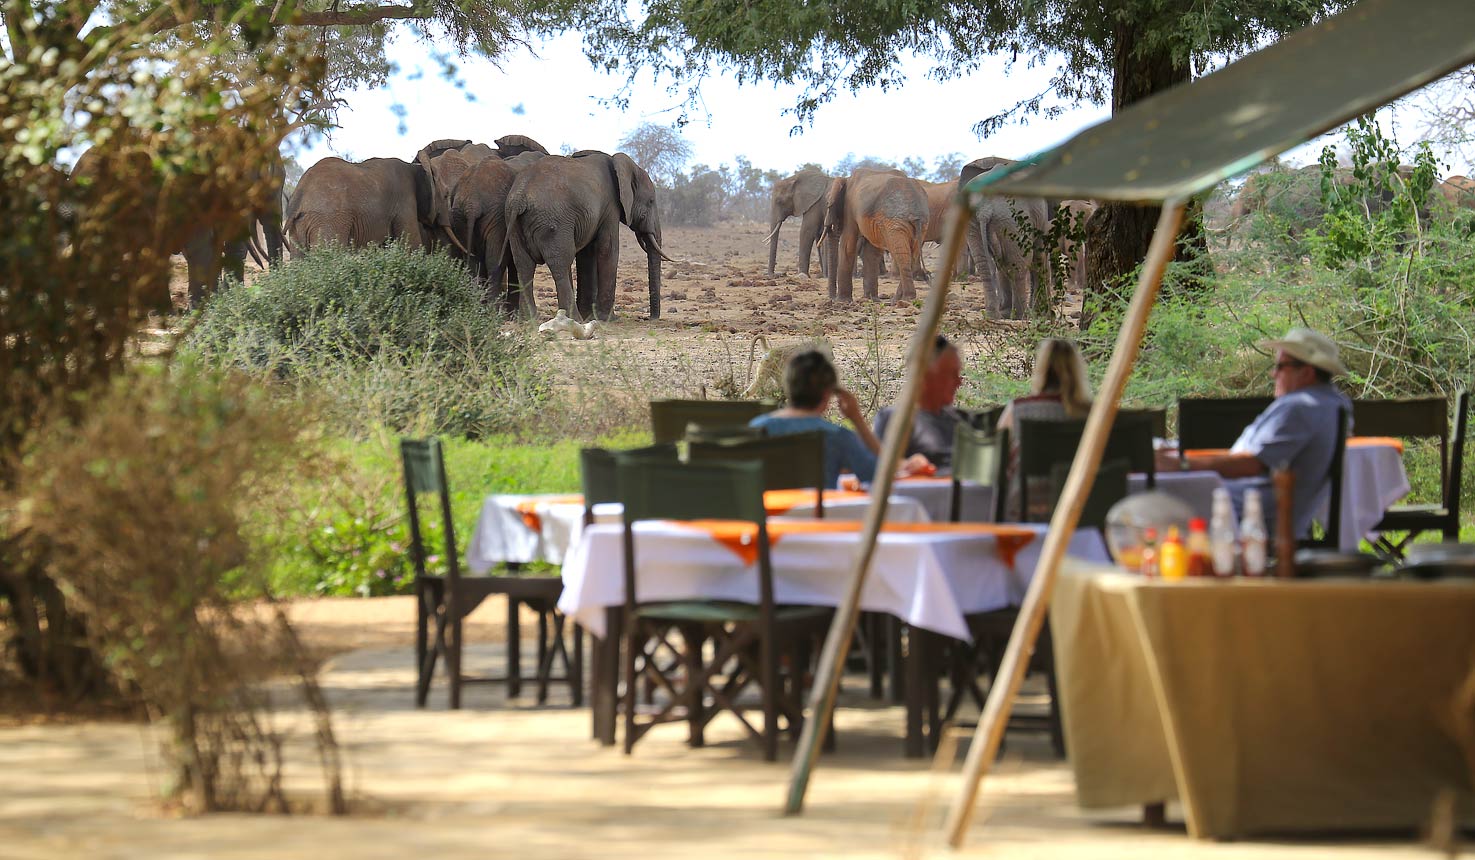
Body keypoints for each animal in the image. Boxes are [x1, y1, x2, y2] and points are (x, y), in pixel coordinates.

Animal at [504, 148, 672, 323]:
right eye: (651, 201)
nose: (650, 318)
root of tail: (520, 197)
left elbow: (587, 253)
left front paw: (591, 316)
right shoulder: (610, 206)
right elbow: (608, 248)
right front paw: (608, 319)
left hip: (514, 223)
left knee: (524, 264)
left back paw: (529, 319)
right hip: (553, 222)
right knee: (560, 263)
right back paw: (573, 319)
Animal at [826, 167, 926, 302]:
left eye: (827, 203)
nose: (832, 298)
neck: (846, 179)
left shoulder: (849, 207)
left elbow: (847, 245)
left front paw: (842, 301)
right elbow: (871, 252)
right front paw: (871, 299)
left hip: (894, 222)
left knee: (900, 253)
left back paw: (905, 298)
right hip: (921, 224)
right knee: (911, 253)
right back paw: (897, 299)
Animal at [961, 155, 1056, 320]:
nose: (1052, 315)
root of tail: (985, 208)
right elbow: (1039, 256)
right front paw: (1044, 316)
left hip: (977, 221)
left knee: (986, 264)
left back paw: (994, 316)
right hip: (1012, 217)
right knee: (1018, 265)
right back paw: (1022, 316)